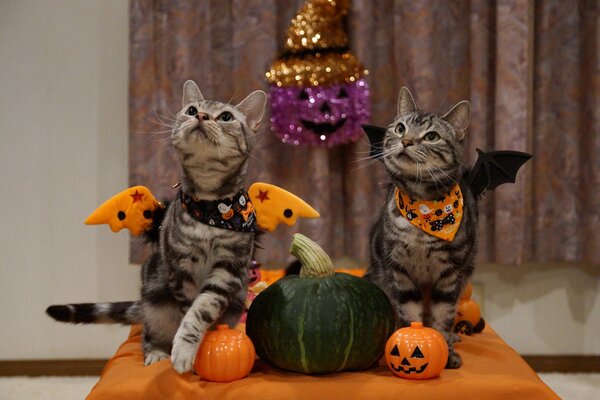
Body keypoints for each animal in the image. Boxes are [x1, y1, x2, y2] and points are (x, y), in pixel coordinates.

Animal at [44, 79, 264, 374]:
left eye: (226, 116)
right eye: (191, 109)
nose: (201, 116)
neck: (212, 209)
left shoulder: (227, 270)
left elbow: (202, 308)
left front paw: (192, 346)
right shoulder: (180, 269)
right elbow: (189, 309)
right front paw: (186, 352)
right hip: (155, 298)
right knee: (147, 335)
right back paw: (157, 353)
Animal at [366, 87, 478, 368]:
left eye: (432, 136)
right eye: (400, 128)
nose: (406, 141)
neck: (426, 209)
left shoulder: (451, 274)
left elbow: (443, 318)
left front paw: (447, 350)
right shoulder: (399, 271)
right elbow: (410, 314)